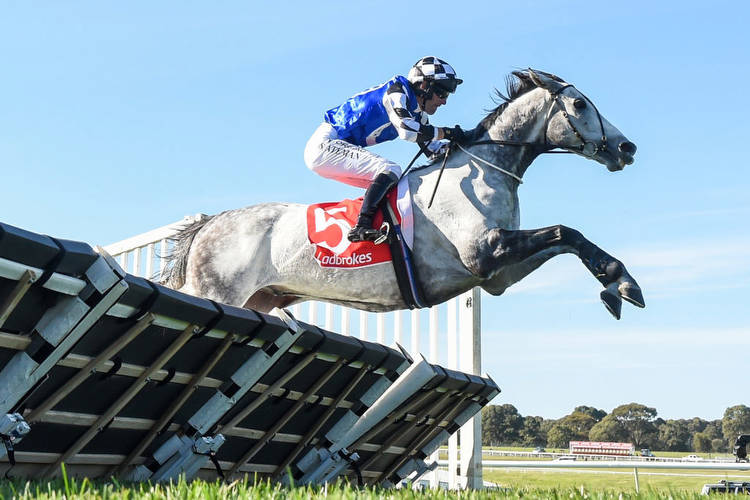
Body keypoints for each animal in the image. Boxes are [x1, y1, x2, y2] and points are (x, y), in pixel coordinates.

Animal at [164, 68, 648, 320]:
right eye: (580, 104)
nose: (627, 148)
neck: (487, 169)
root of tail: (209, 225)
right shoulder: (484, 252)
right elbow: (567, 231)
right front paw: (622, 283)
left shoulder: (496, 275)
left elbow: (565, 239)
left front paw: (615, 284)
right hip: (218, 292)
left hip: (259, 300)